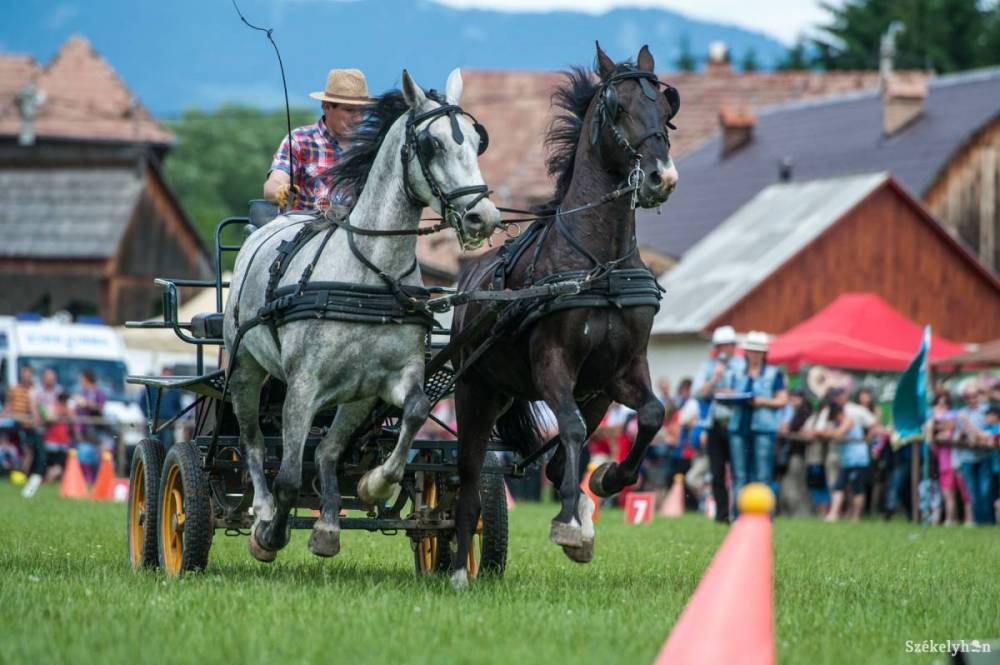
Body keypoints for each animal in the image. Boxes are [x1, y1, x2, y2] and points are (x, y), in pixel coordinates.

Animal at [222, 68, 496, 560]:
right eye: (433, 144)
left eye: (475, 141)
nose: (483, 216)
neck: (369, 272)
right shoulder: (302, 387)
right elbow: (287, 474)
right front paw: (270, 533)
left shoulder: (391, 379)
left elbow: (414, 412)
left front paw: (373, 485)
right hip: (246, 372)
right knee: (251, 445)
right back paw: (263, 511)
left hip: (355, 396)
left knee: (327, 451)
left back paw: (329, 524)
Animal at [452, 42, 680, 588]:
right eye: (619, 107)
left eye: (665, 108)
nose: (662, 177)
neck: (601, 264)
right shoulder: (553, 363)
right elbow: (573, 430)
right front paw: (568, 525)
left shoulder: (620, 371)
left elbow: (652, 414)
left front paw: (607, 480)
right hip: (475, 392)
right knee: (468, 477)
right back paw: (456, 567)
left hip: (558, 391)